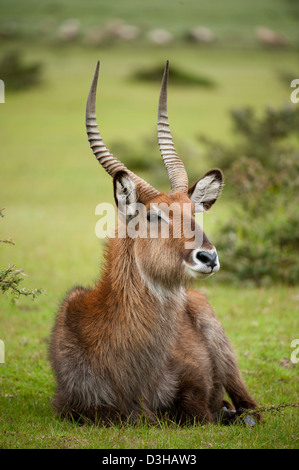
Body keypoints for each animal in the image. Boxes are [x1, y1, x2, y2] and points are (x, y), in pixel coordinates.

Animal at [49, 60, 260, 424]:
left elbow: (197, 412)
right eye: (154, 215)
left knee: (250, 407)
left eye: (194, 210)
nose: (208, 257)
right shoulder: (71, 406)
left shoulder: (196, 382)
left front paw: (220, 413)